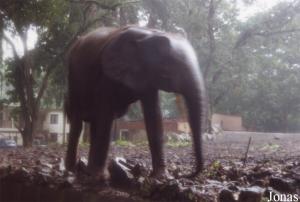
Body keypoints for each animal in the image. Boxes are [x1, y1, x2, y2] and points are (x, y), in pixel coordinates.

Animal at [65, 25, 206, 180]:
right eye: (166, 71)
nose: (184, 175)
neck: (148, 34)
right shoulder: (107, 74)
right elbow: (106, 114)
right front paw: (99, 178)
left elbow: (154, 115)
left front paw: (161, 177)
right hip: (73, 83)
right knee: (78, 123)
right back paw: (73, 171)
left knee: (94, 124)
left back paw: (86, 170)